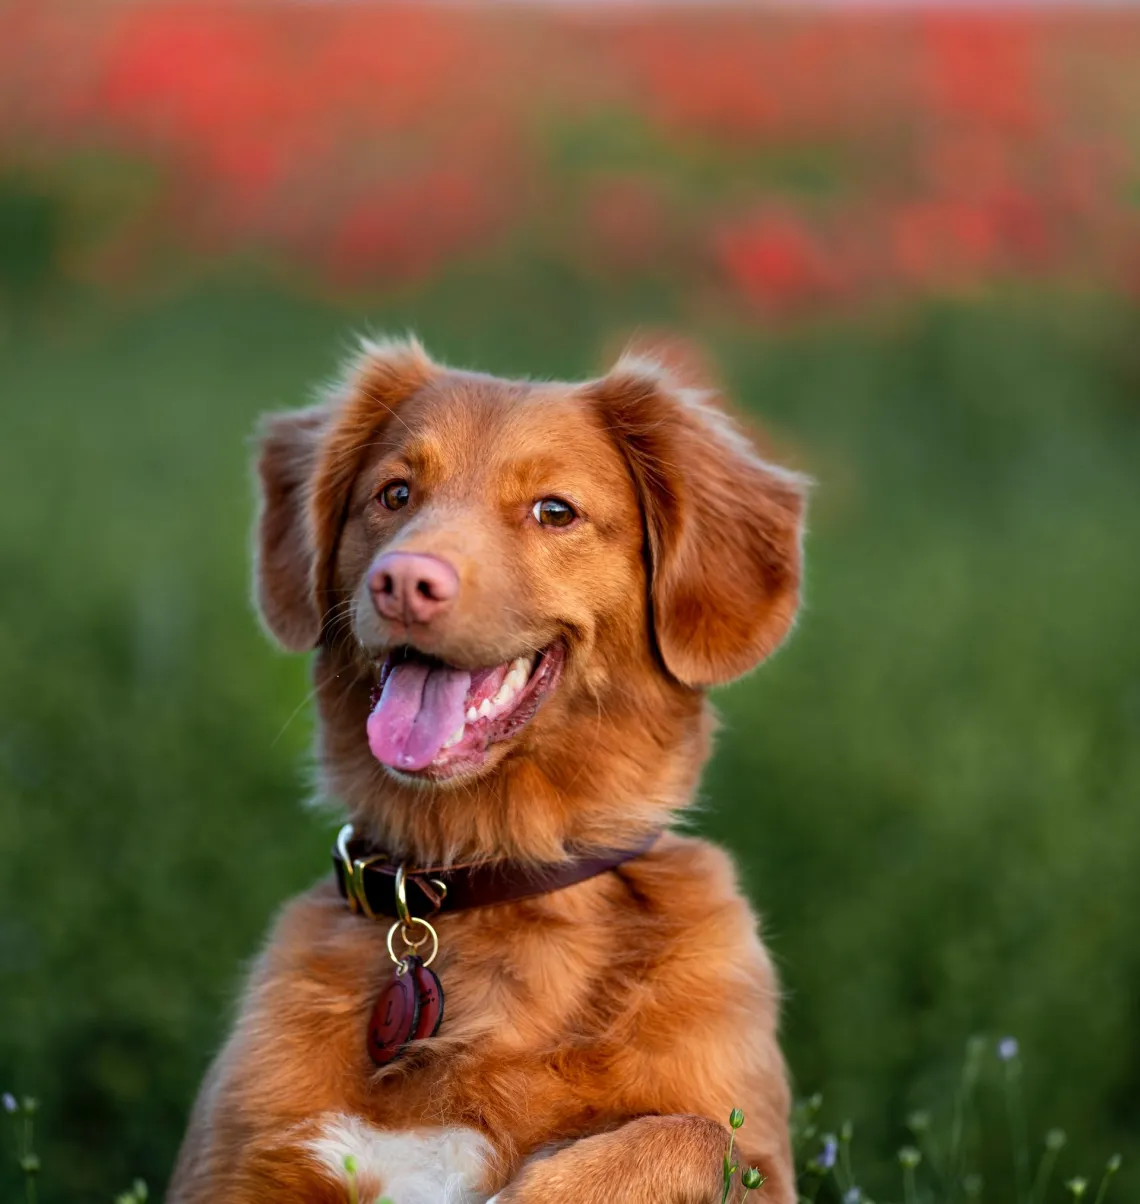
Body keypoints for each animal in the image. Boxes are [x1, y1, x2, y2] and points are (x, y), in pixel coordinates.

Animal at [169, 337, 808, 1204]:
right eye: (395, 494)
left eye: (555, 511)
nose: (405, 582)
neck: (489, 878)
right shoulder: (235, 1163)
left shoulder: (761, 1153)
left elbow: (697, 1135)